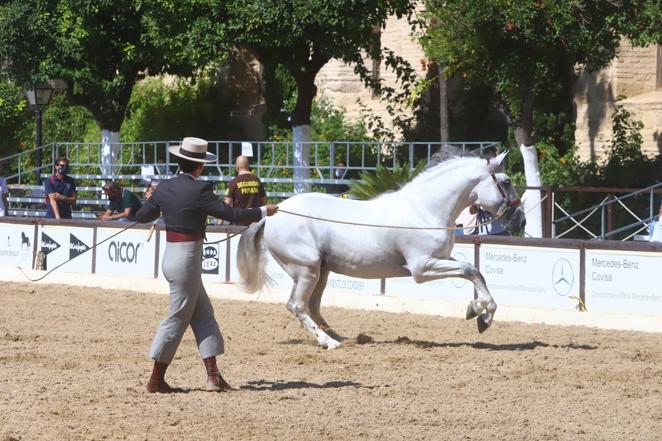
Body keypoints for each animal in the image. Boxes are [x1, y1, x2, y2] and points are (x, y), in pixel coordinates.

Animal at [236, 153, 528, 348]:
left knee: (313, 306)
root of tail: (271, 215)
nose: (521, 221)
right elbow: (471, 270)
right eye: (506, 181)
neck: (425, 210)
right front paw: (482, 315)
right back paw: (329, 342)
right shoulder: (422, 268)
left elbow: (474, 273)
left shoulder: (441, 259)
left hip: (322, 271)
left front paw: (477, 312)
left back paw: (341, 337)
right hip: (306, 270)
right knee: (297, 305)